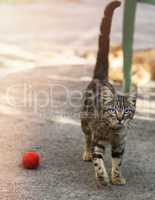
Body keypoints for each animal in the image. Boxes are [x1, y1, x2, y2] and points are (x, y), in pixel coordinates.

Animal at [80, 0, 136, 187]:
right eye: (112, 110)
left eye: (126, 111)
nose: (119, 118)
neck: (112, 132)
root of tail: (100, 77)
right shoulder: (98, 140)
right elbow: (98, 160)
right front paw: (102, 177)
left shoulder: (120, 143)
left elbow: (117, 162)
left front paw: (116, 177)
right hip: (85, 122)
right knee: (87, 139)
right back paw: (86, 153)